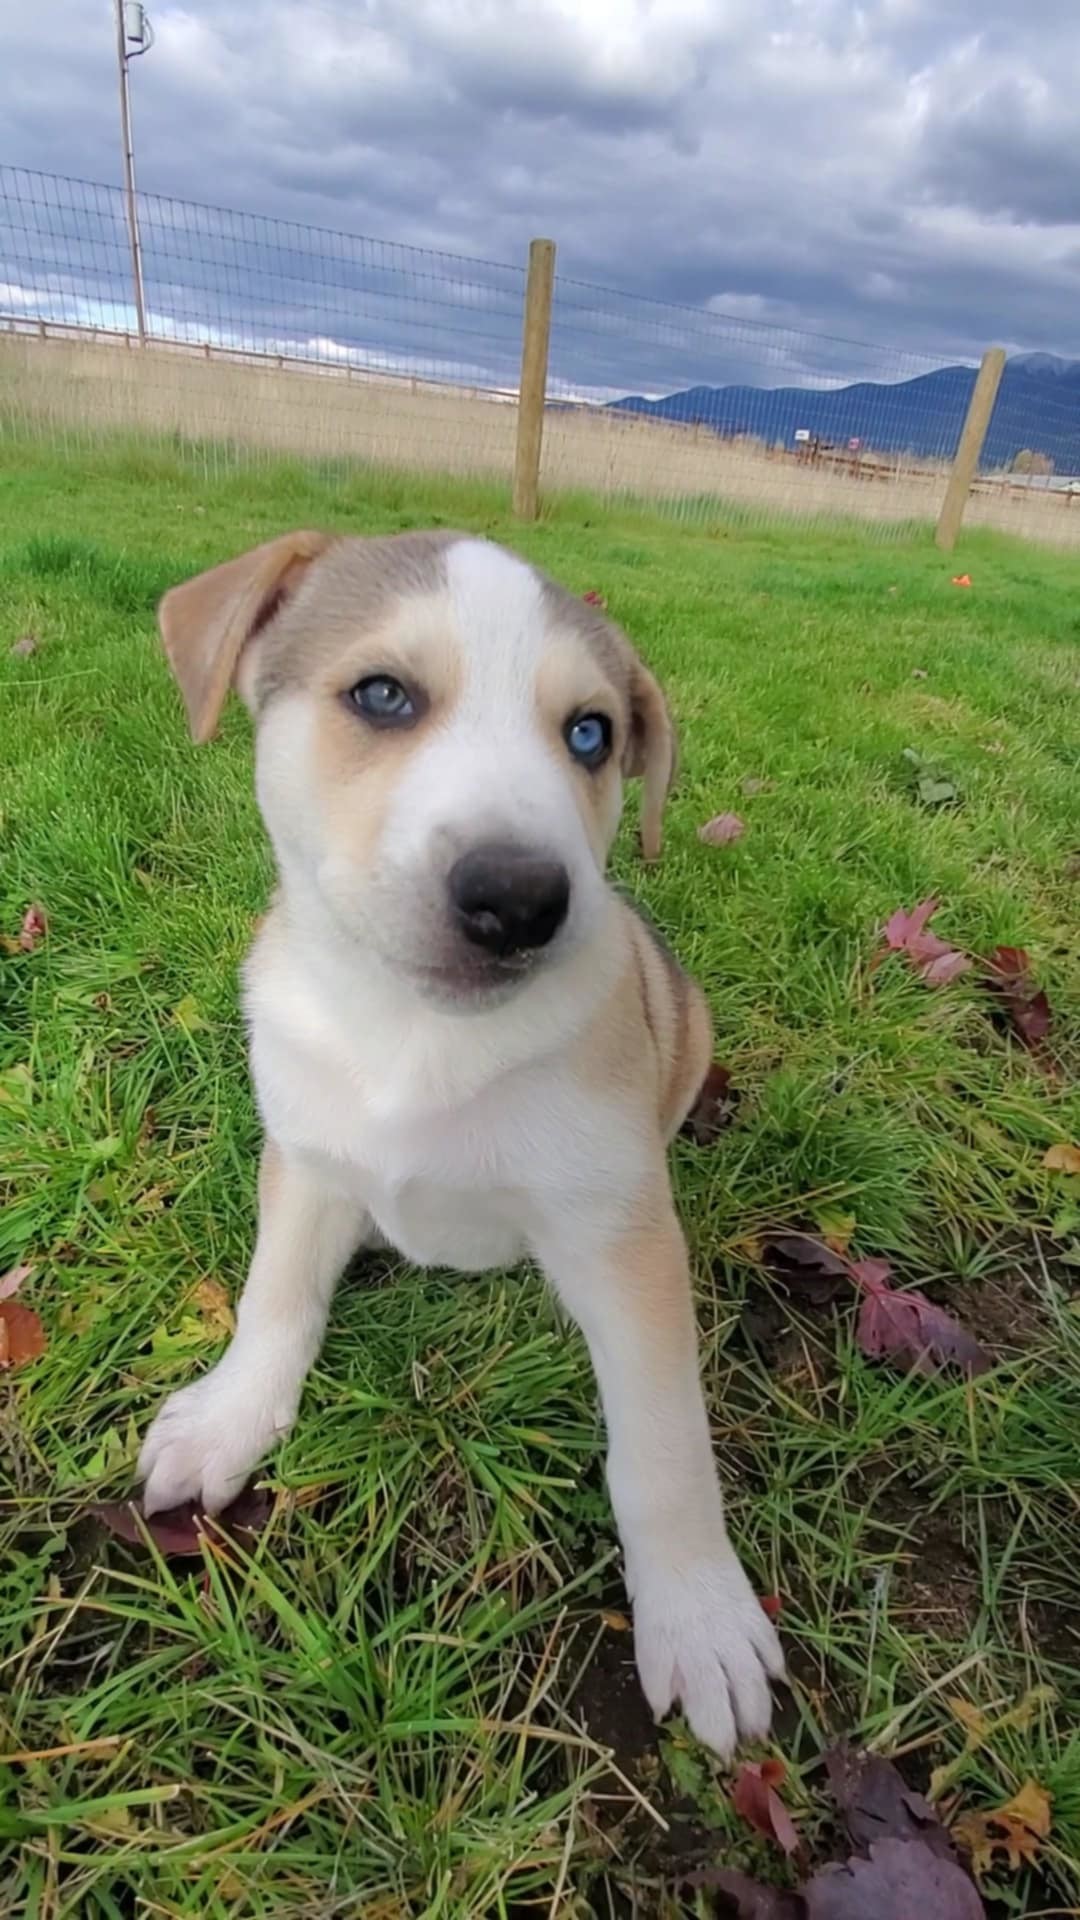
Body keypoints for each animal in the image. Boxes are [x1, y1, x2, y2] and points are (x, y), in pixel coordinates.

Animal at [141, 526, 780, 1758]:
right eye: (382, 695)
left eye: (592, 734)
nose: (520, 899)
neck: (416, 1036)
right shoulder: (306, 1157)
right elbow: (275, 1295)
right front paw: (231, 1419)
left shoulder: (622, 1238)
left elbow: (665, 1448)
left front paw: (699, 1611)